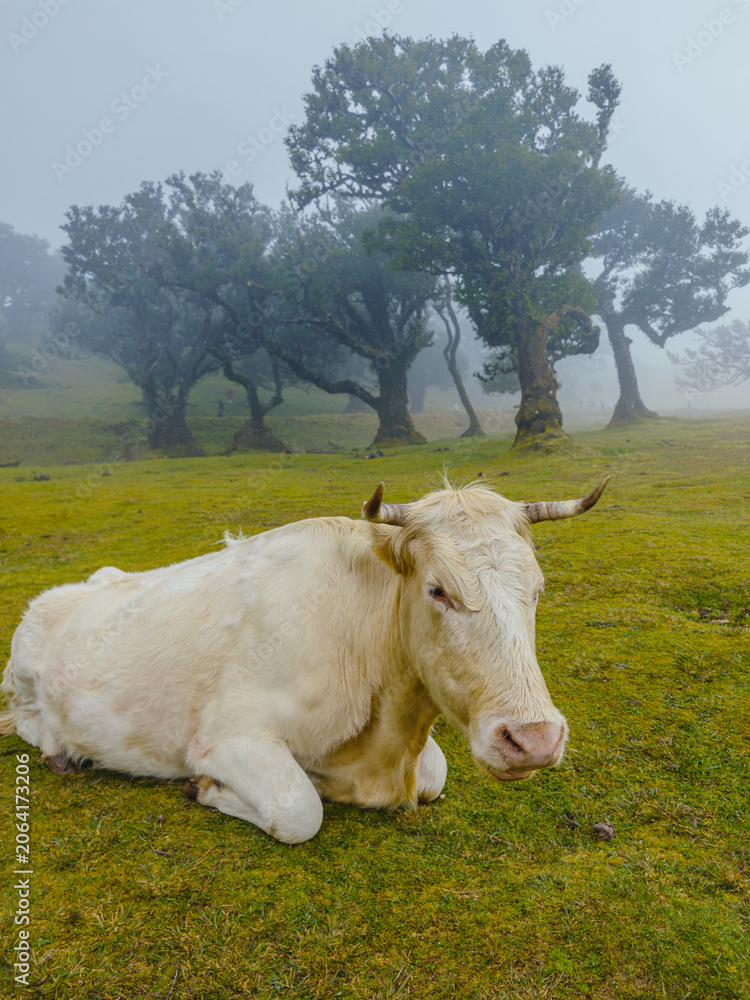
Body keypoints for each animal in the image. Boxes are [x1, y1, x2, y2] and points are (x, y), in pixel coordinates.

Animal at [0, 477, 609, 843]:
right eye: (438, 590)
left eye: (538, 589)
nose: (535, 740)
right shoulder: (229, 736)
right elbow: (298, 809)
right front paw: (207, 788)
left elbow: (434, 776)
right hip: (23, 678)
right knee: (27, 721)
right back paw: (61, 752)